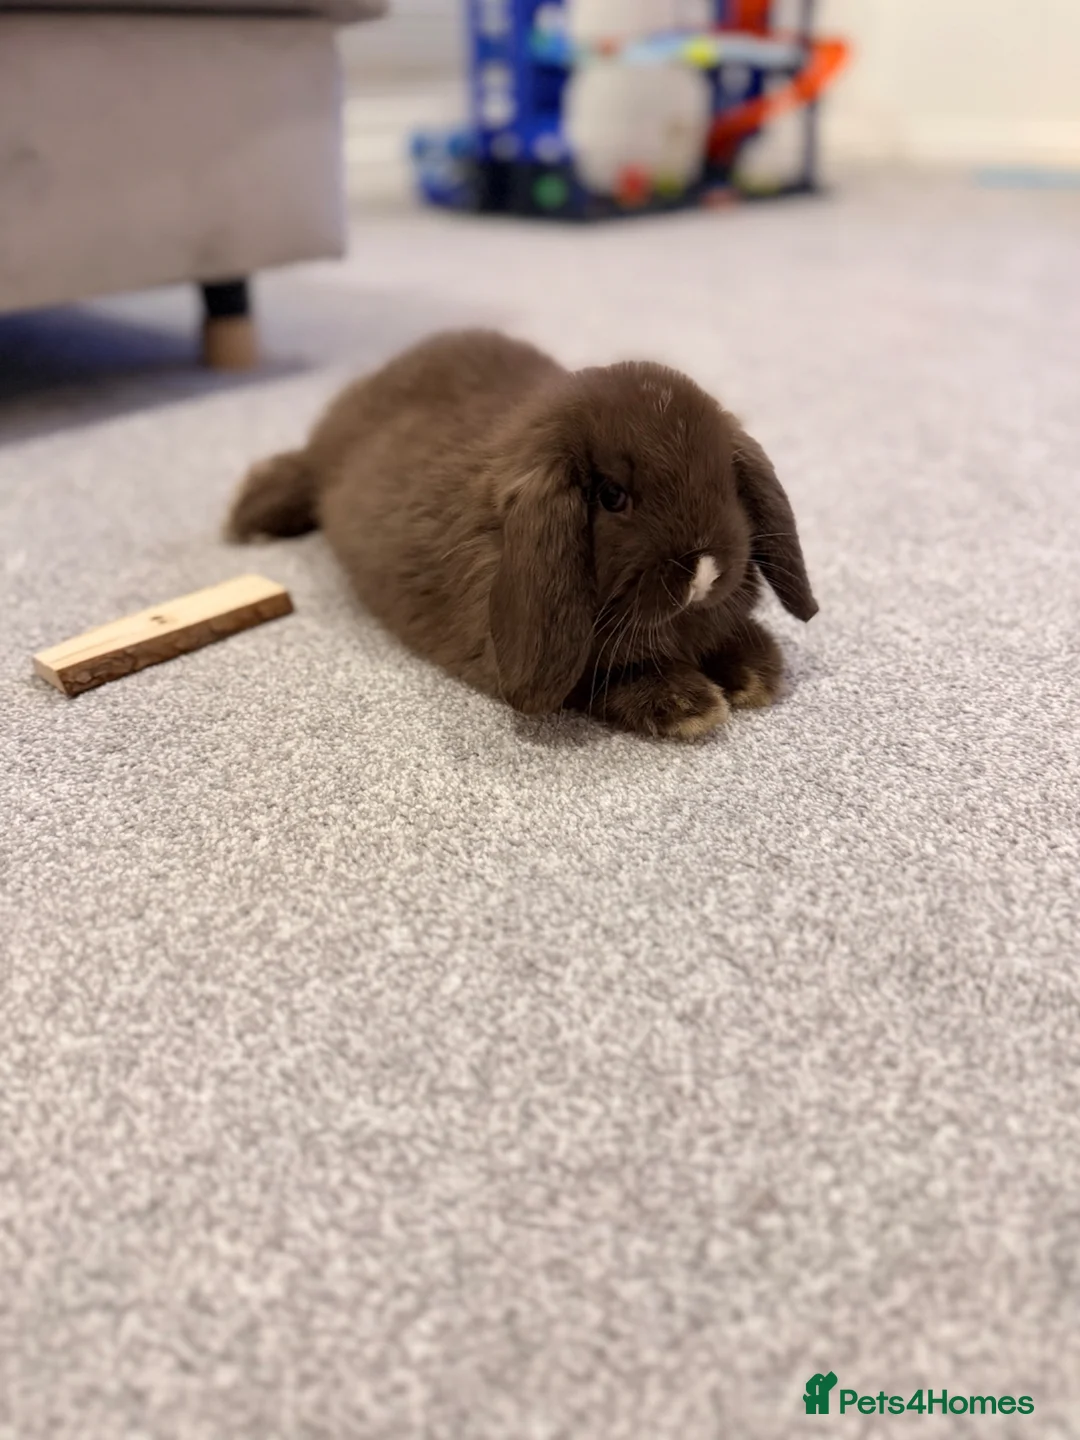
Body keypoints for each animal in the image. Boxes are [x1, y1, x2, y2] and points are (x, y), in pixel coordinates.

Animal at [226, 329, 817, 739]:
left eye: (725, 478)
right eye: (612, 497)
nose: (705, 571)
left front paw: (755, 673)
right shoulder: (571, 665)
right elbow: (612, 680)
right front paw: (692, 706)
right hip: (318, 466)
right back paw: (248, 520)